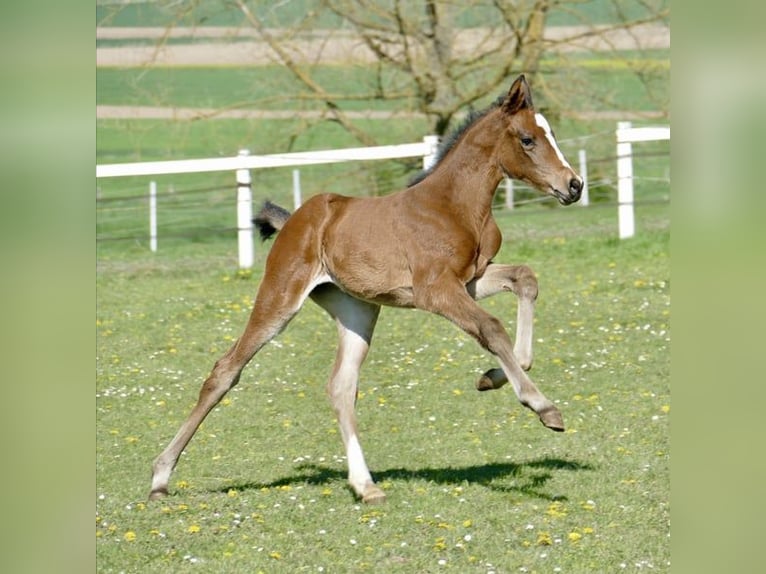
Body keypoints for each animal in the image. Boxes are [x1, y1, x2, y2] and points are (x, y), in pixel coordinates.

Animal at [149, 74, 584, 504]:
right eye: (527, 139)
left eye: (551, 133)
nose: (574, 185)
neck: (454, 205)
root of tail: (295, 220)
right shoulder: (435, 290)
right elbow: (492, 327)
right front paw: (543, 407)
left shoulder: (471, 280)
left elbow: (525, 280)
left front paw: (490, 378)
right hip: (280, 297)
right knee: (226, 370)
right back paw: (160, 478)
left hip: (357, 310)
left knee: (341, 386)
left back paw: (365, 485)